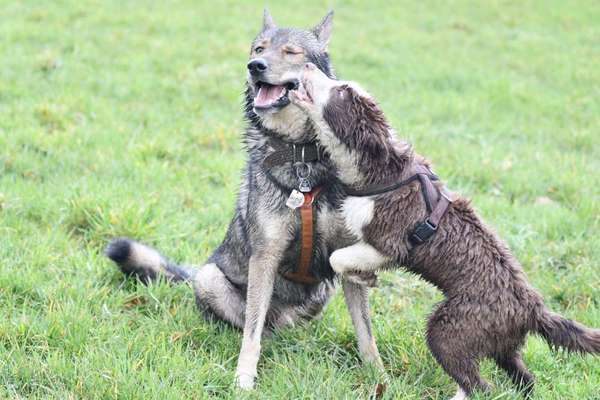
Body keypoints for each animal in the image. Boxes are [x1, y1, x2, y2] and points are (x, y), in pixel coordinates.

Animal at [105, 10, 382, 390]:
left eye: (291, 52)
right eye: (258, 49)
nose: (255, 66)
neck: (300, 157)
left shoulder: (347, 259)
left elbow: (366, 334)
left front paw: (379, 376)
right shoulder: (264, 257)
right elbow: (251, 334)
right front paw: (244, 379)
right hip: (209, 279)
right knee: (258, 326)